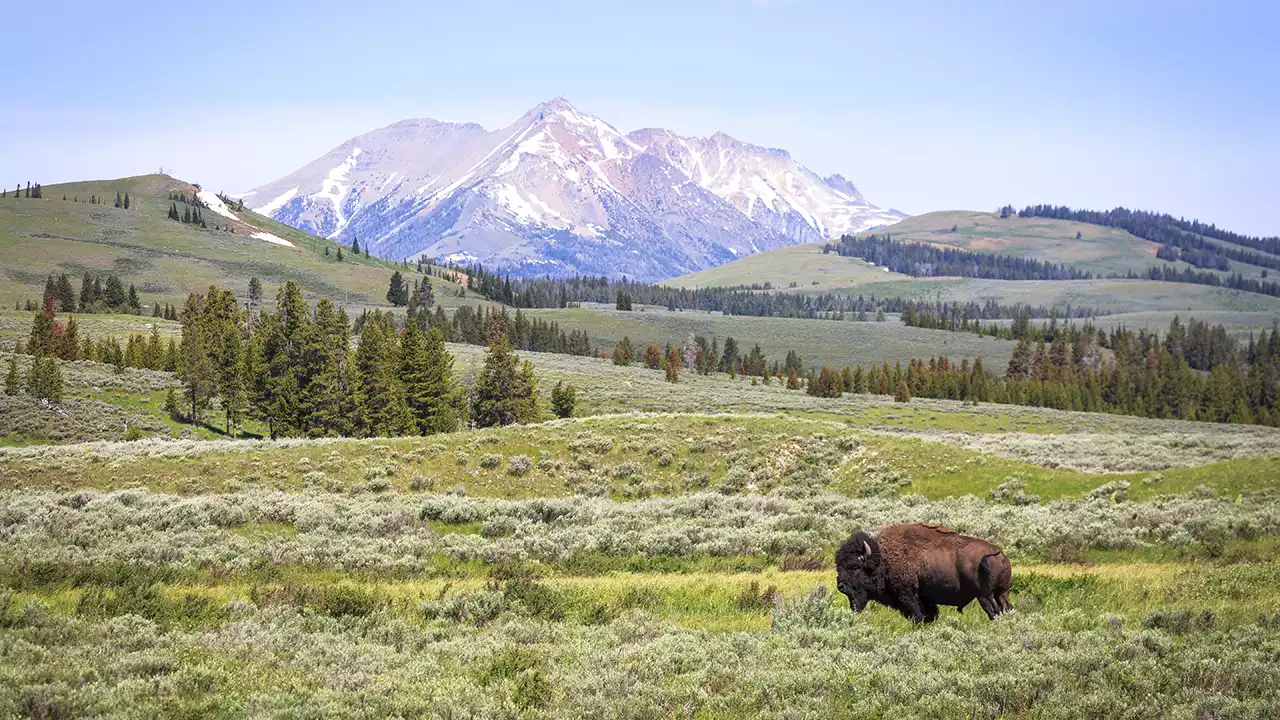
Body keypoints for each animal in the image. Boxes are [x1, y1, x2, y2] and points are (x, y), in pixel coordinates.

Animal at [834, 517, 1013, 620]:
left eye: (854, 567)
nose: (840, 586)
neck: (882, 560)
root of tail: (998, 553)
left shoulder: (908, 596)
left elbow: (917, 615)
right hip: (1001, 593)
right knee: (1006, 607)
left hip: (984, 596)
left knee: (993, 611)